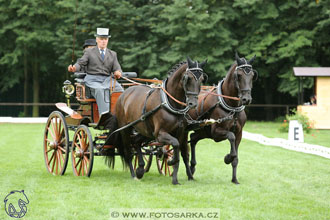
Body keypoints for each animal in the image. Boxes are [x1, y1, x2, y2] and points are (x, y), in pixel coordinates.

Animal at [113, 57, 206, 185]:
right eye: (188, 78)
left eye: (201, 79)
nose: (193, 104)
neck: (170, 103)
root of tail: (124, 93)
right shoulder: (160, 134)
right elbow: (175, 145)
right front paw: (171, 162)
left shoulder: (181, 133)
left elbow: (181, 153)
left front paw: (178, 178)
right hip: (125, 129)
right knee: (128, 152)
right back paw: (133, 174)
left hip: (145, 131)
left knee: (137, 142)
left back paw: (140, 168)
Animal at [187, 53, 256, 184]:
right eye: (239, 75)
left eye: (252, 75)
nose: (247, 99)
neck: (232, 107)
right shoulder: (216, 133)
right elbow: (231, 137)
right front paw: (227, 158)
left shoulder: (239, 134)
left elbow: (236, 156)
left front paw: (234, 179)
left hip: (203, 131)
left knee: (193, 139)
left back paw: (192, 168)